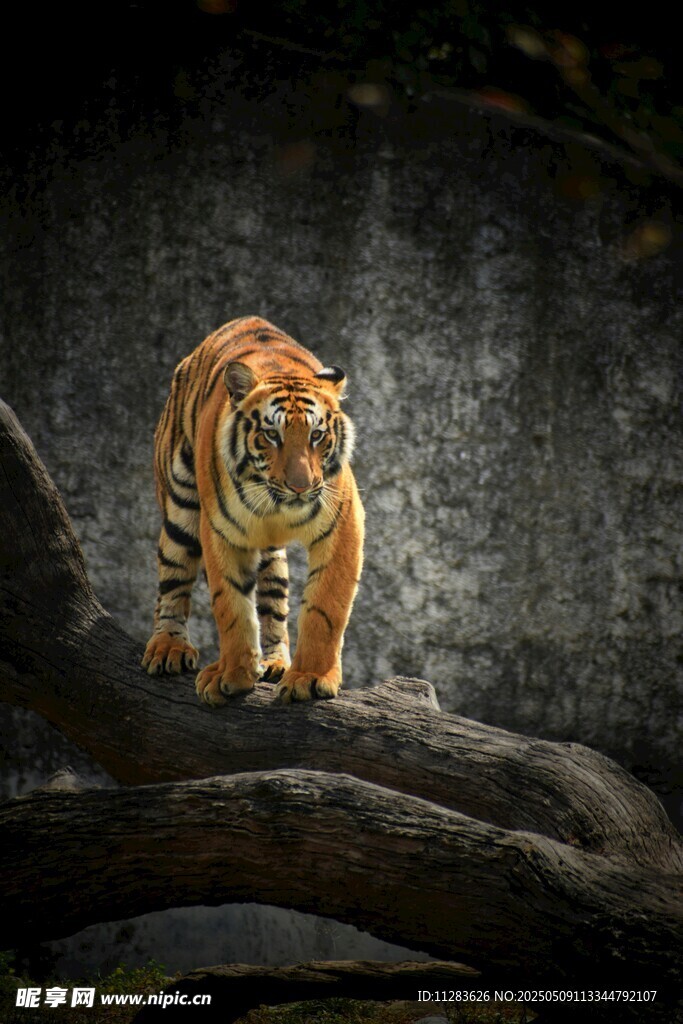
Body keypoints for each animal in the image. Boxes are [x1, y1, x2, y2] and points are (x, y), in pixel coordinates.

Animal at [141, 315, 364, 705]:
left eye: (317, 435)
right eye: (272, 435)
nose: (301, 486)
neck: (275, 504)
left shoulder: (343, 523)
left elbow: (325, 607)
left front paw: (309, 677)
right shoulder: (220, 531)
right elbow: (231, 607)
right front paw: (231, 675)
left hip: (272, 557)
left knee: (274, 602)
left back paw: (276, 663)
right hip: (180, 509)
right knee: (173, 580)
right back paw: (168, 647)